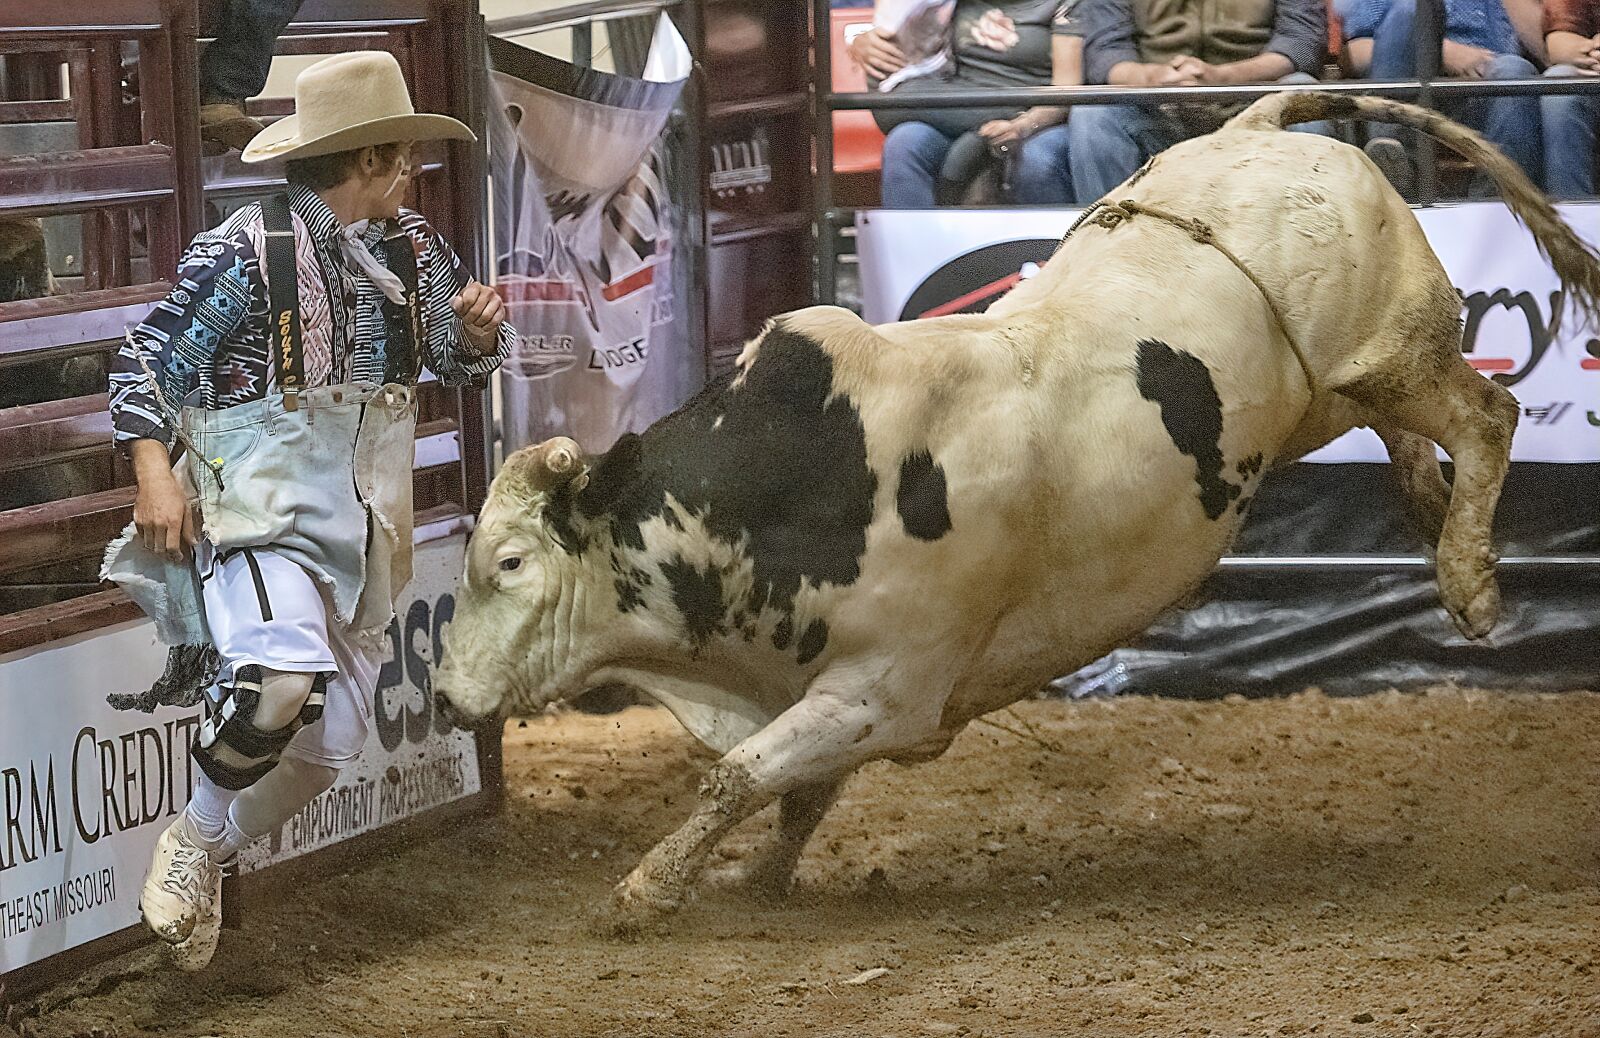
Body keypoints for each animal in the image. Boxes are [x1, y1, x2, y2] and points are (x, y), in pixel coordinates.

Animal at [434, 92, 1600, 930]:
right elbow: (791, 791)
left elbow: (739, 776)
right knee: (1414, 432)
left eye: (509, 564)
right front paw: (753, 880)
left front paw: (644, 893)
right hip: (1336, 393)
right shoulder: (825, 690)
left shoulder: (883, 690)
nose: (444, 697)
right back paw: (1425, 509)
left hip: (1392, 350)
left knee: (1487, 413)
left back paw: (1469, 582)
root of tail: (1262, 128)